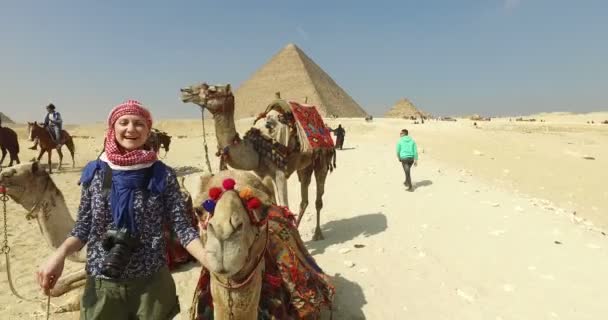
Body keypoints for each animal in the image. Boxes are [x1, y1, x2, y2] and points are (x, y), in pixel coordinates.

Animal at [180, 82, 334, 240]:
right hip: (305, 165)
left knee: (318, 198)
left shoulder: (280, 172)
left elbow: (284, 204)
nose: (186, 91)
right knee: (304, 198)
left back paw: (317, 234)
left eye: (212, 90)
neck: (257, 148)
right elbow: (272, 201)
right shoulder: (262, 173)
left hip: (322, 159)